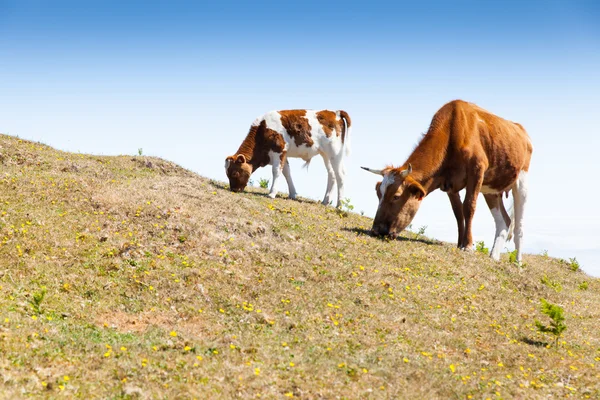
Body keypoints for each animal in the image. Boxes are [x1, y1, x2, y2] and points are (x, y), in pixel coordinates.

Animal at [360, 100, 536, 262]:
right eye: (378, 194)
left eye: (396, 196)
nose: (376, 231)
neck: (452, 133)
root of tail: (522, 131)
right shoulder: (450, 184)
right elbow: (458, 212)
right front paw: (459, 244)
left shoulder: (477, 170)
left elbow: (469, 207)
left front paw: (468, 245)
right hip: (491, 189)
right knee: (504, 222)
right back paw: (494, 257)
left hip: (522, 182)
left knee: (519, 226)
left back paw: (518, 262)